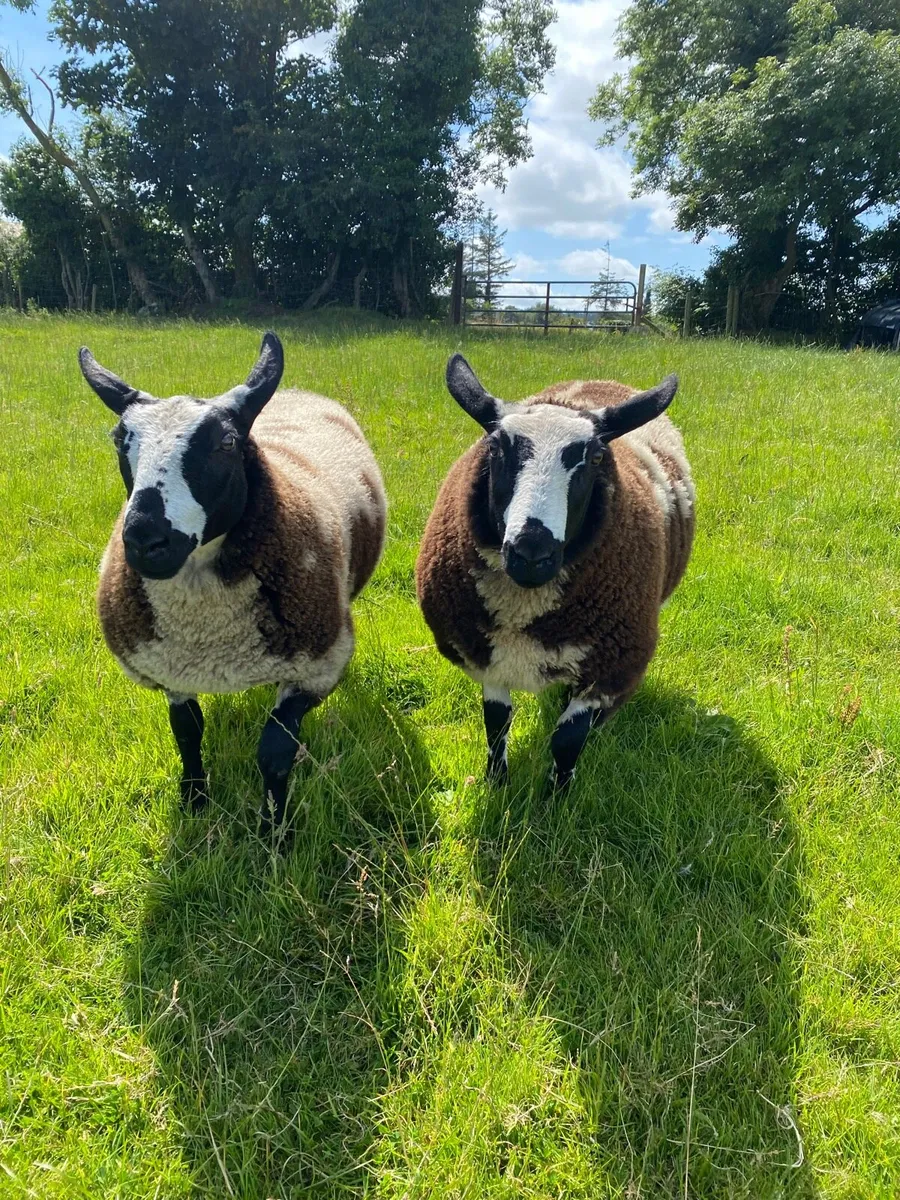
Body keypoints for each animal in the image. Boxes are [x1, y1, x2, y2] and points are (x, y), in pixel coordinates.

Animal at [80, 331, 386, 834]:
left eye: (225, 443)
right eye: (120, 440)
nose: (145, 540)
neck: (209, 633)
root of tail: (296, 392)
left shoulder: (316, 666)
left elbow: (275, 753)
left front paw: (274, 831)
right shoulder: (171, 668)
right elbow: (187, 733)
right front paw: (194, 798)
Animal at [415, 354, 694, 788]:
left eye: (595, 457)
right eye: (496, 449)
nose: (532, 553)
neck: (523, 612)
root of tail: (597, 380)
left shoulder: (608, 666)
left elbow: (567, 739)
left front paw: (557, 795)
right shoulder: (487, 655)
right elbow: (496, 722)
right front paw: (497, 782)